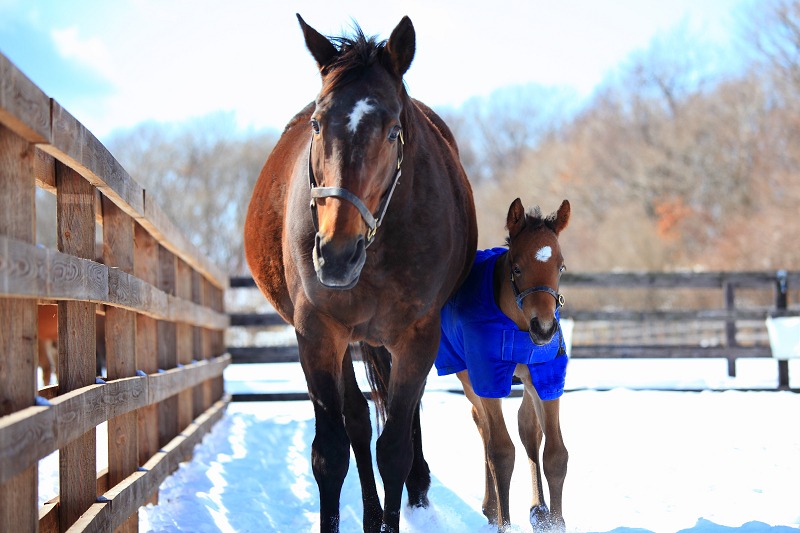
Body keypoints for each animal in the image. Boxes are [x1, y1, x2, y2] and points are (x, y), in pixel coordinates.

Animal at [244, 13, 478, 532]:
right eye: (316, 123)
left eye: (392, 131)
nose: (335, 254)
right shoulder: (316, 332)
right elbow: (332, 452)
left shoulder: (417, 334)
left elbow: (394, 448)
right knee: (356, 419)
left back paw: (417, 488)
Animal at [434, 198, 572, 528]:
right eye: (518, 268)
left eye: (560, 267)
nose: (544, 329)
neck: (516, 326)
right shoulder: (488, 376)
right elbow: (501, 452)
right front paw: (504, 523)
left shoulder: (546, 375)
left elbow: (555, 454)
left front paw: (554, 523)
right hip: (466, 375)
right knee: (483, 426)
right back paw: (492, 508)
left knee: (527, 427)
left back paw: (538, 510)